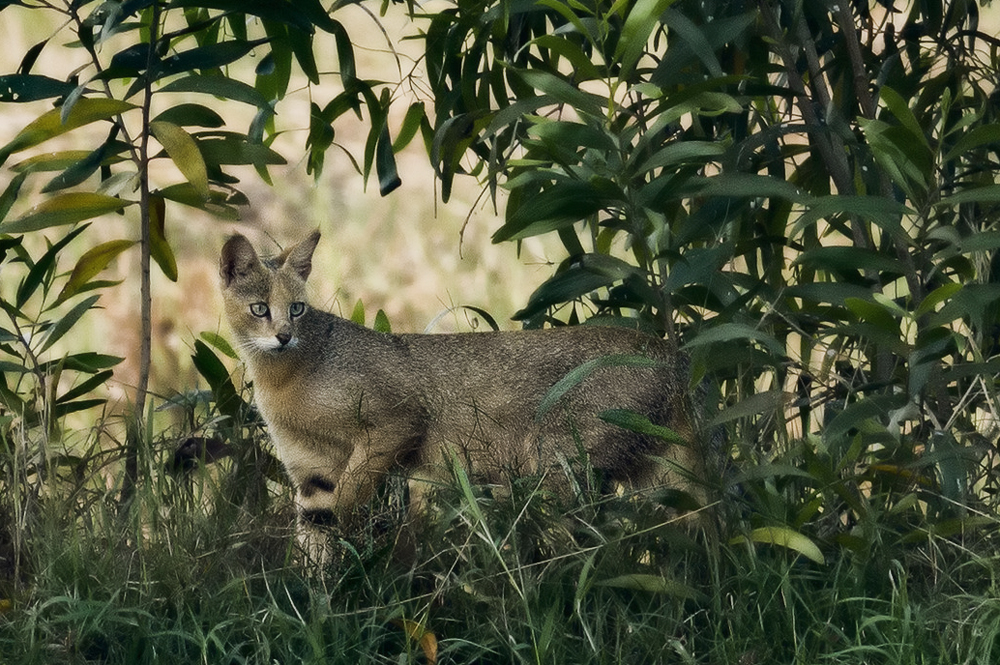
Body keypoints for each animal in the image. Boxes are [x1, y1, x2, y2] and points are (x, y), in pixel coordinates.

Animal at [219, 231, 708, 564]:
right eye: (259, 309)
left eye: (297, 309)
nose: (283, 335)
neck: (283, 381)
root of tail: (672, 352)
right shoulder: (311, 478)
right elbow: (316, 545)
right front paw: (321, 612)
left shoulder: (396, 422)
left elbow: (349, 496)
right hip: (651, 477)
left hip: (556, 467)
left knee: (590, 549)